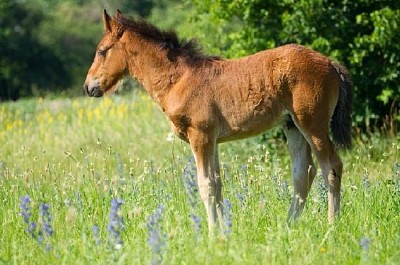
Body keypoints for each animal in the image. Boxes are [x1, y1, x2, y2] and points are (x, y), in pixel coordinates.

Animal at [83, 9, 352, 229]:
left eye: (101, 51)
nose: (88, 87)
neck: (178, 79)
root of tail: (330, 63)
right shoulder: (212, 140)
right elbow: (218, 183)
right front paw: (224, 232)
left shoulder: (200, 136)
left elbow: (206, 186)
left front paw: (212, 234)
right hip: (292, 126)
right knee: (303, 172)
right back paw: (289, 225)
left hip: (312, 124)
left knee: (332, 167)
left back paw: (331, 226)